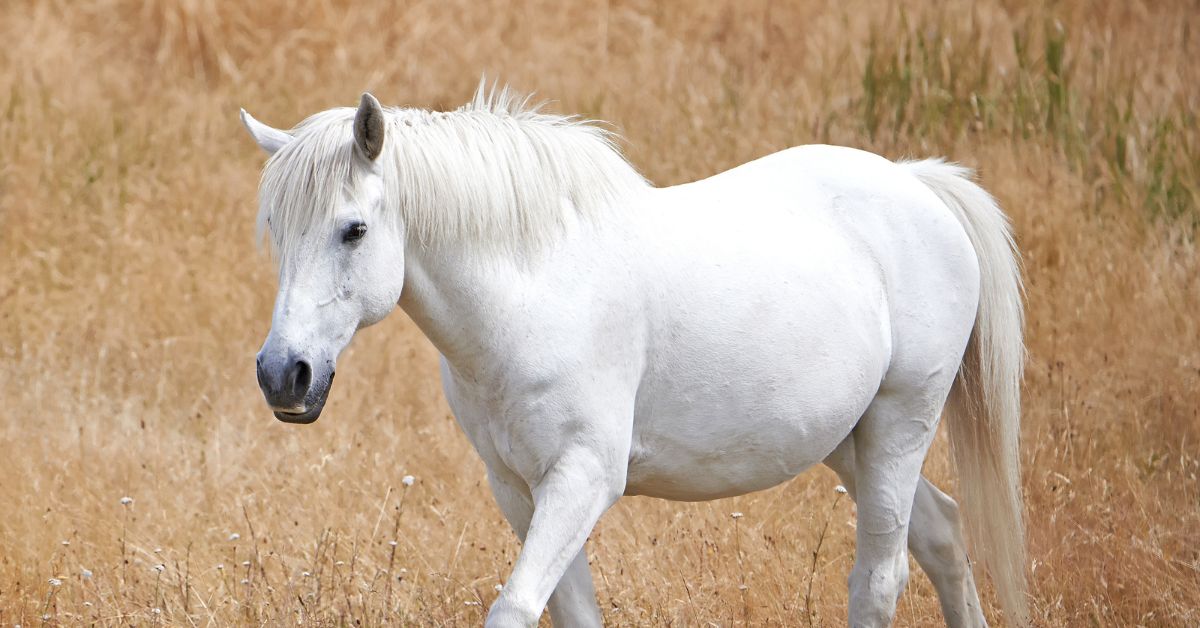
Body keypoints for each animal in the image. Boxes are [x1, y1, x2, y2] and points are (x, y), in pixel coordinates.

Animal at [240, 85, 1027, 627]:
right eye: (275, 227)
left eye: (354, 229)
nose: (283, 375)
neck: (536, 295)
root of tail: (918, 183)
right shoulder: (518, 488)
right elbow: (570, 612)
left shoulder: (583, 477)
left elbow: (516, 607)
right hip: (848, 440)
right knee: (942, 535)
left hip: (901, 423)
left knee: (880, 578)